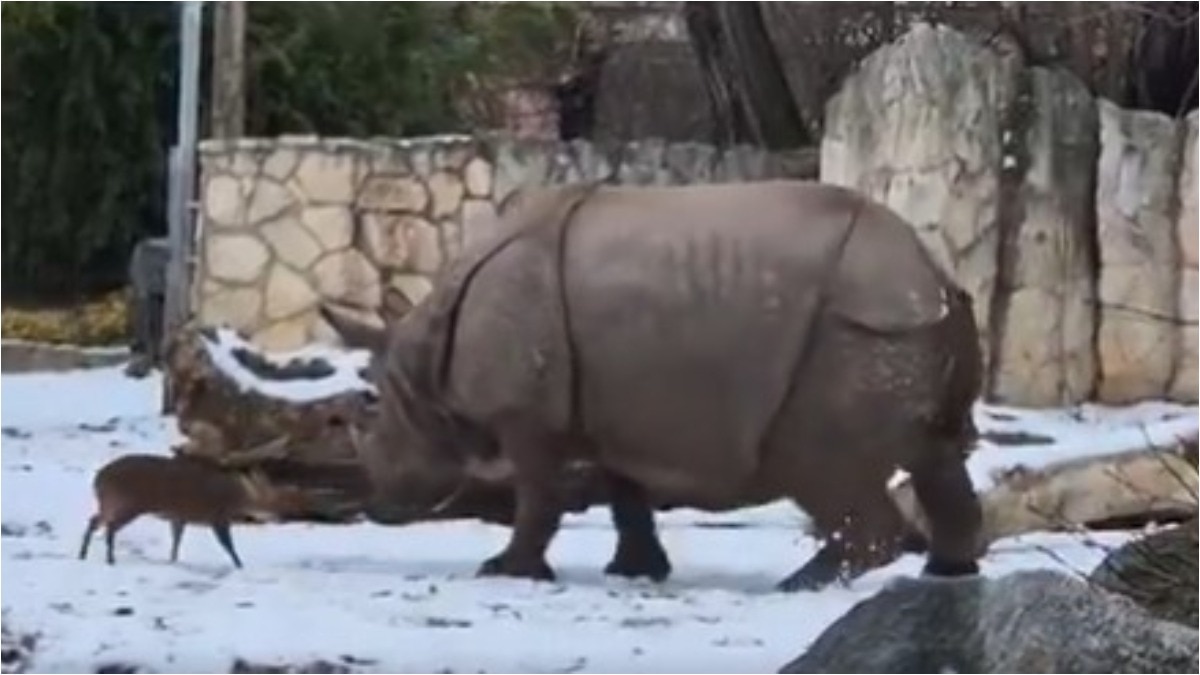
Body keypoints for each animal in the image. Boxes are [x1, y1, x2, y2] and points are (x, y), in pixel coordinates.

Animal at [78, 430, 311, 568]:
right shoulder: (217, 515)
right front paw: (240, 565)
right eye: (275, 499)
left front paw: (172, 561)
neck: (236, 495)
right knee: (109, 526)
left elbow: (176, 540)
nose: (282, 516)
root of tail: (98, 479)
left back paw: (83, 554)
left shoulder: (179, 515)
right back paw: (109, 558)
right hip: (129, 502)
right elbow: (227, 545)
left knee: (94, 520)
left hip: (110, 502)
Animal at [322, 179, 985, 591]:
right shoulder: (614, 412)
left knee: (819, 463)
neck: (426, 354)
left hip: (858, 329)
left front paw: (504, 572)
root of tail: (932, 274)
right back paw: (946, 576)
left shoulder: (527, 417)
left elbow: (538, 493)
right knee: (937, 455)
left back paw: (798, 586)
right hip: (915, 326)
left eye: (373, 411)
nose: (376, 507)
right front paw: (635, 572)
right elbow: (624, 492)